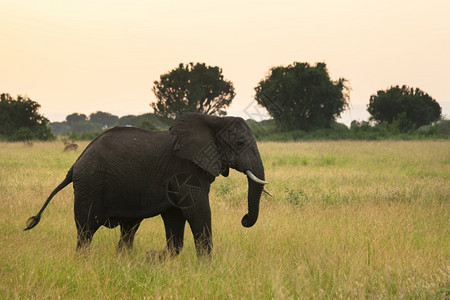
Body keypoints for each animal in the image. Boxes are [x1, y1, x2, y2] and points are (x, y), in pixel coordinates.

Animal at [25, 112, 270, 258]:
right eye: (240, 143)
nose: (244, 219)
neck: (214, 120)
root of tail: (75, 164)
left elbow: (175, 217)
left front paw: (155, 258)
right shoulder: (185, 170)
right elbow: (197, 211)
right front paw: (206, 268)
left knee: (128, 229)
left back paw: (124, 259)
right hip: (90, 185)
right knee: (86, 230)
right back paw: (83, 262)